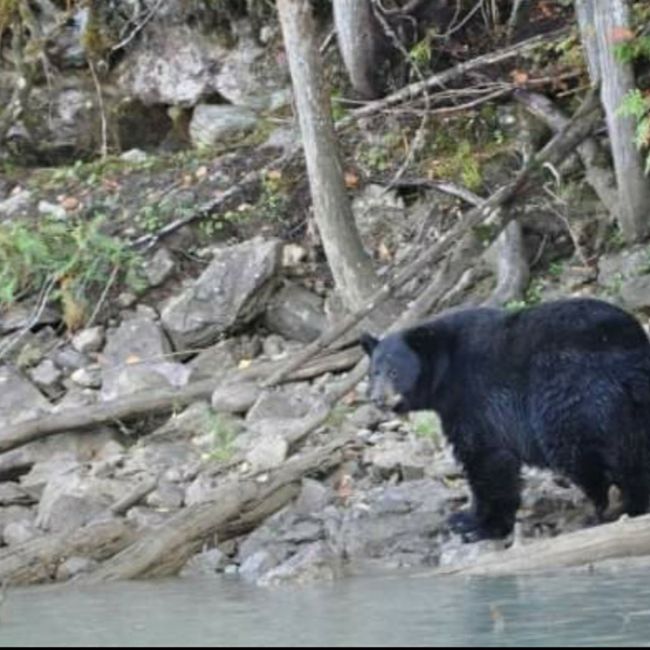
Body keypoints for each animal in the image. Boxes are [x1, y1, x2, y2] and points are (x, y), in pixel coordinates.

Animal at [362, 296, 648, 540]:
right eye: (375, 372)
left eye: (394, 371)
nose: (377, 398)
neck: (445, 371)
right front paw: (467, 518)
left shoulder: (473, 397)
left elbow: (485, 458)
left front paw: (477, 524)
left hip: (571, 391)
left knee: (582, 453)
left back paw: (606, 509)